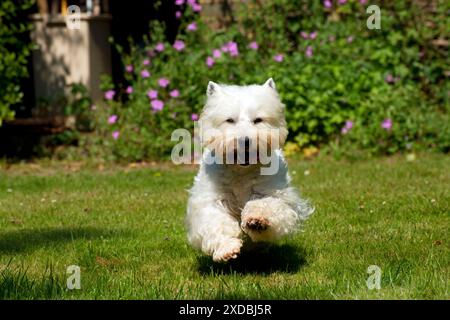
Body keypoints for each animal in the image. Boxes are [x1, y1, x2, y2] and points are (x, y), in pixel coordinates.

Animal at [185, 79, 312, 262]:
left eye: (258, 120)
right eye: (229, 120)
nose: (245, 141)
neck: (241, 171)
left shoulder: (274, 194)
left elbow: (265, 204)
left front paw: (257, 221)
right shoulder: (211, 200)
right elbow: (216, 222)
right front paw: (227, 248)